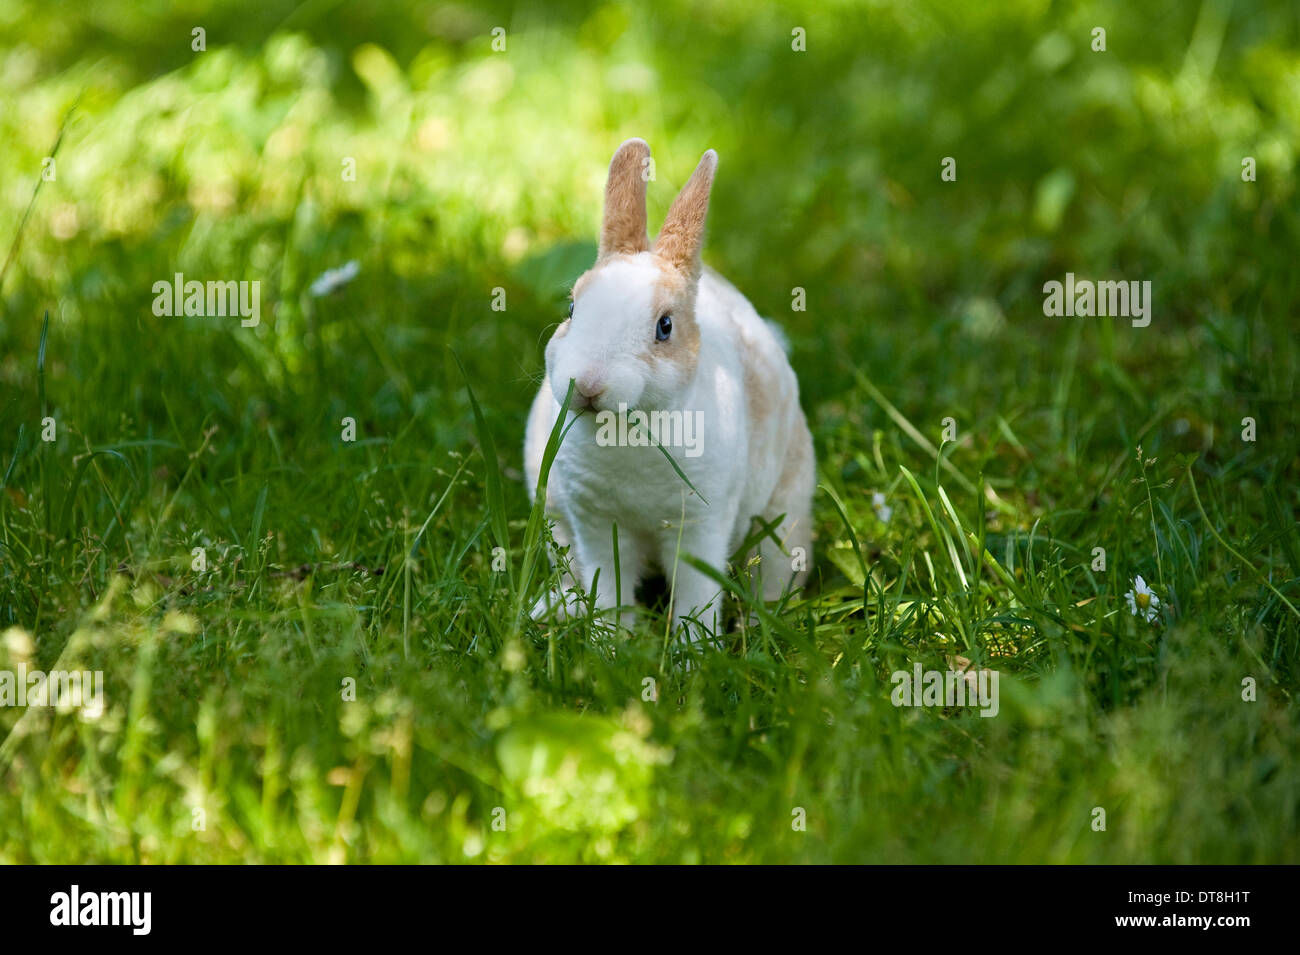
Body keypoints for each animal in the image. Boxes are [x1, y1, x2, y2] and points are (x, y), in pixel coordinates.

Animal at [524, 138, 814, 645]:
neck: (627, 433)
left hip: (787, 514)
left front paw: (691, 651)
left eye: (664, 326)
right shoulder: (595, 525)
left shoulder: (700, 527)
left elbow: (696, 593)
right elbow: (608, 586)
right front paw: (610, 643)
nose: (588, 385)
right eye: (573, 308)